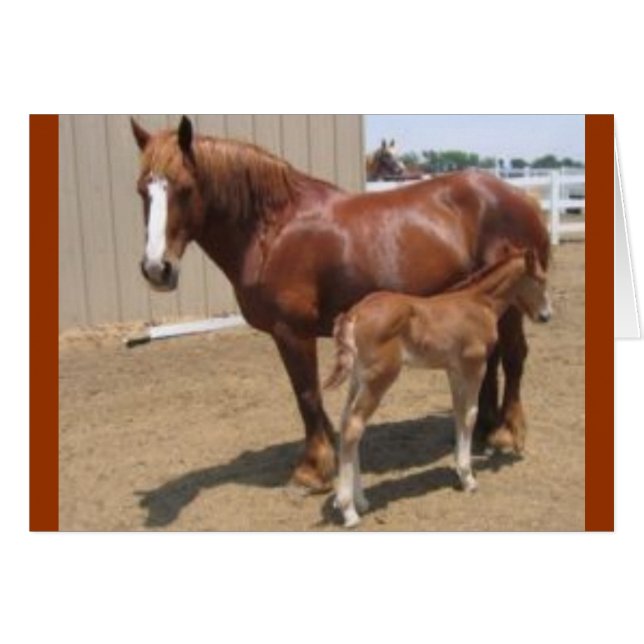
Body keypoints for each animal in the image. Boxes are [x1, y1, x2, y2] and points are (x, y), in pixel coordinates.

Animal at [130, 116, 550, 492]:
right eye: (141, 190)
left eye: (185, 188)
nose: (156, 269)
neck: (273, 231)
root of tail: (521, 197)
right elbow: (312, 399)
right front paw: (329, 450)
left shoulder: (292, 332)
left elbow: (306, 394)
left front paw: (312, 469)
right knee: (493, 359)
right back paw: (484, 430)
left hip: (514, 303)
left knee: (514, 357)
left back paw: (507, 434)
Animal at [324, 246, 551, 527]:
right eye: (541, 279)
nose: (546, 315)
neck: (480, 303)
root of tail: (355, 313)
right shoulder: (475, 366)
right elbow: (471, 414)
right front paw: (468, 478)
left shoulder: (454, 370)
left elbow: (459, 413)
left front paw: (460, 471)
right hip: (380, 378)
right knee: (354, 426)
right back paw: (349, 511)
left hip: (358, 379)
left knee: (346, 421)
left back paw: (361, 501)